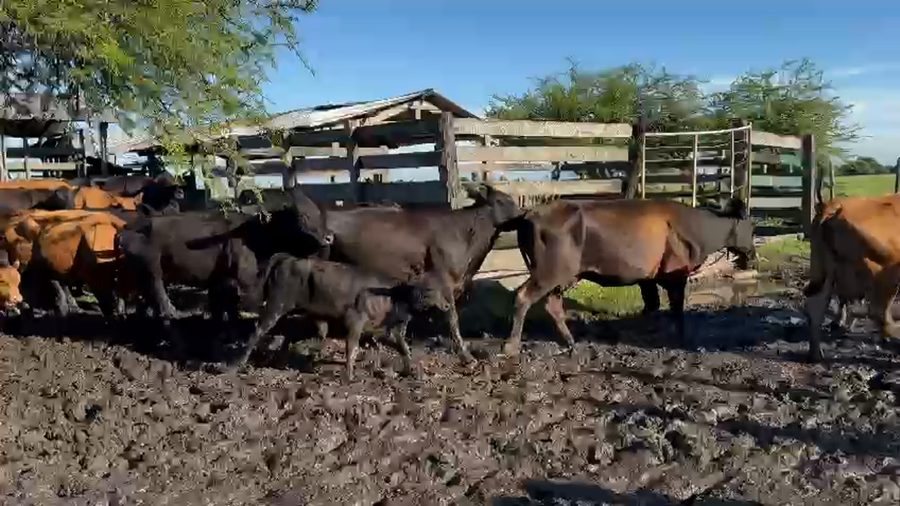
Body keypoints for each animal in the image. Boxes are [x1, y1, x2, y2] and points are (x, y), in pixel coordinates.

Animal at [228, 253, 451, 379]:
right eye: (429, 290)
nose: (447, 305)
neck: (391, 297)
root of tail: (289, 258)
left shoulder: (381, 331)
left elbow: (403, 348)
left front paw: (410, 372)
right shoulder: (355, 321)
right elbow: (351, 348)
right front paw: (350, 376)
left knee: (289, 334)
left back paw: (280, 363)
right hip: (276, 306)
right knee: (258, 331)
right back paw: (236, 364)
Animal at [504, 197, 756, 356]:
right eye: (751, 227)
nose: (753, 254)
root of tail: (529, 213)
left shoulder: (648, 278)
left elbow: (652, 305)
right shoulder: (676, 275)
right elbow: (676, 309)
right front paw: (682, 339)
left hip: (564, 275)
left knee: (552, 304)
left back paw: (571, 341)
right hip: (550, 271)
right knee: (523, 296)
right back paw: (511, 346)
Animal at [803, 194, 900, 362]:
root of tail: (833, 208)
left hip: (823, 271)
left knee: (816, 306)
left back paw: (815, 354)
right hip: (882, 275)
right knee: (879, 313)